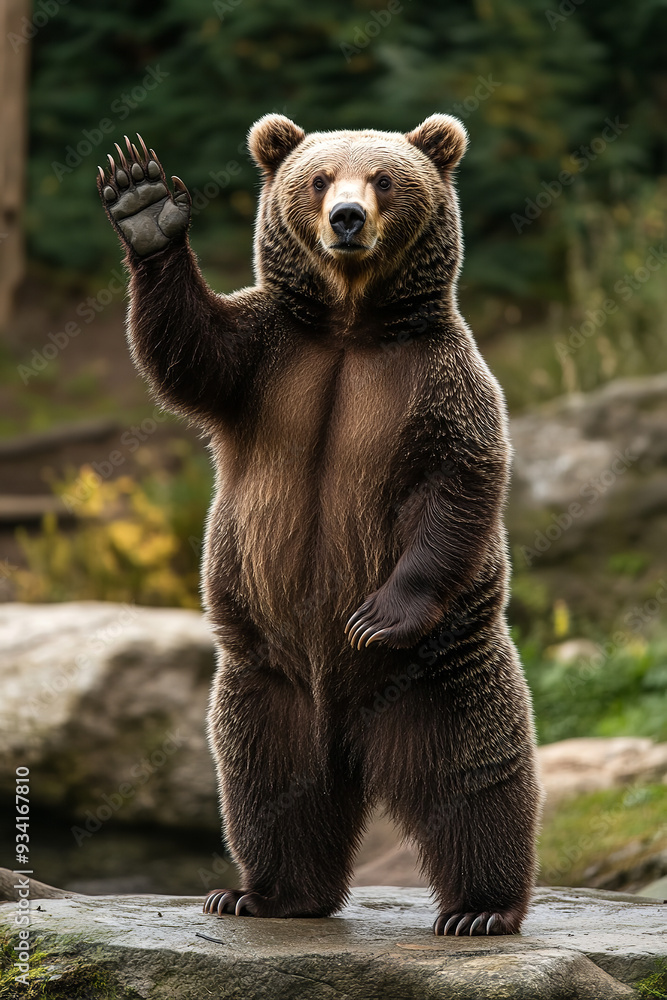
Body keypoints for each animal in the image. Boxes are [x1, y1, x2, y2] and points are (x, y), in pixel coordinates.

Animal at [97, 115, 542, 936]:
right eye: (318, 177)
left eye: (385, 179)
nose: (347, 219)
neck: (348, 323)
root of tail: (350, 738)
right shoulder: (268, 361)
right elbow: (187, 349)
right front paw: (142, 200)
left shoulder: (440, 383)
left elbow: (459, 482)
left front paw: (373, 616)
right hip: (269, 677)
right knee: (265, 784)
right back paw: (264, 892)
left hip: (440, 670)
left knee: (475, 779)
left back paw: (480, 909)